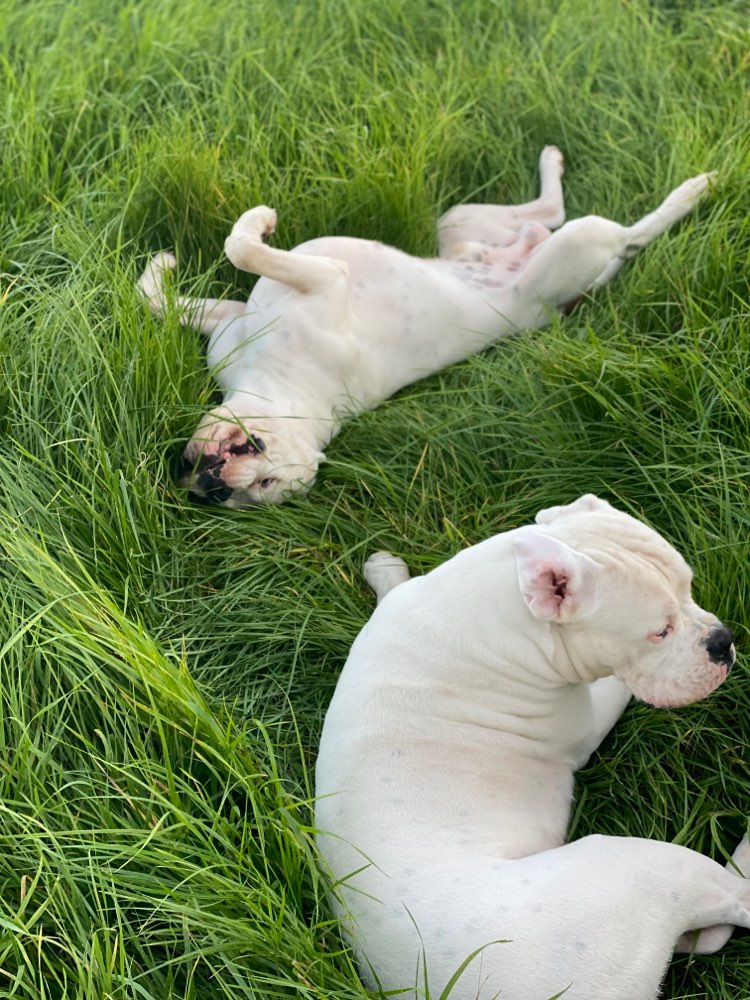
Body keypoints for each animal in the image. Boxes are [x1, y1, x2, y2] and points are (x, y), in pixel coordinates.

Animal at [140, 146, 716, 508]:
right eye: (241, 496)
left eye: (263, 480)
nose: (214, 488)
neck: (285, 390)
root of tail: (554, 308)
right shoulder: (231, 320)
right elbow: (154, 301)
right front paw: (162, 267)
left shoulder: (324, 277)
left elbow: (242, 246)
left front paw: (258, 220)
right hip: (464, 224)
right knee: (549, 212)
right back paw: (555, 162)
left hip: (578, 242)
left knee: (632, 237)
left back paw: (694, 190)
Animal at [312, 496, 748, 1000]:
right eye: (660, 631)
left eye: (690, 588)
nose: (723, 640)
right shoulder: (588, 718)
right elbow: (620, 684)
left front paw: (385, 570)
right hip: (643, 868)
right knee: (740, 896)